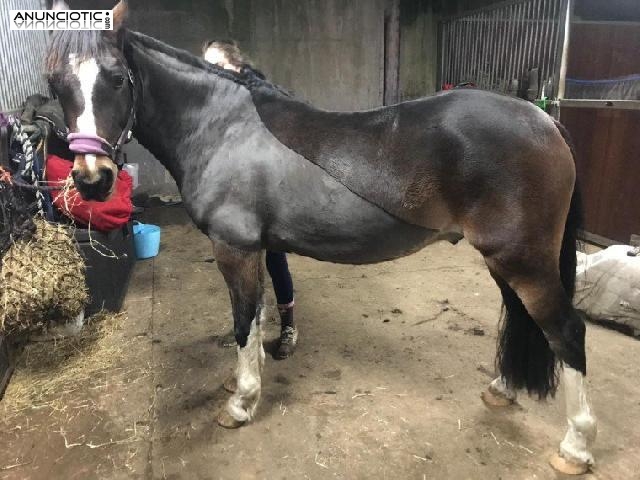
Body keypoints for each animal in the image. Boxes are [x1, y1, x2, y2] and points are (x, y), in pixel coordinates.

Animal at [45, 1, 596, 474]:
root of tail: (543, 119)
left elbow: (242, 320)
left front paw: (241, 403)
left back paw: (575, 447)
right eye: (56, 83)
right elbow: (259, 313)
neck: (221, 127)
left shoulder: (234, 248)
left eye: (117, 79)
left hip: (523, 261)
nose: (92, 178)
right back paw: (504, 390)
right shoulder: (258, 249)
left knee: (566, 332)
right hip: (507, 261)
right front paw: (247, 377)